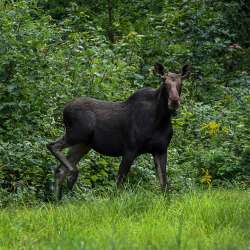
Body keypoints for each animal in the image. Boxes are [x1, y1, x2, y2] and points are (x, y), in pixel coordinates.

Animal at [47, 63, 191, 199]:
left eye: (181, 83)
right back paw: (72, 177)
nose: (174, 101)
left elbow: (164, 185)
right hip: (76, 134)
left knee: (60, 169)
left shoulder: (160, 150)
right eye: (164, 82)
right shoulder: (130, 149)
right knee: (52, 146)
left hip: (84, 144)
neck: (160, 120)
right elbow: (119, 184)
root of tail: (64, 109)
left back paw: (58, 200)